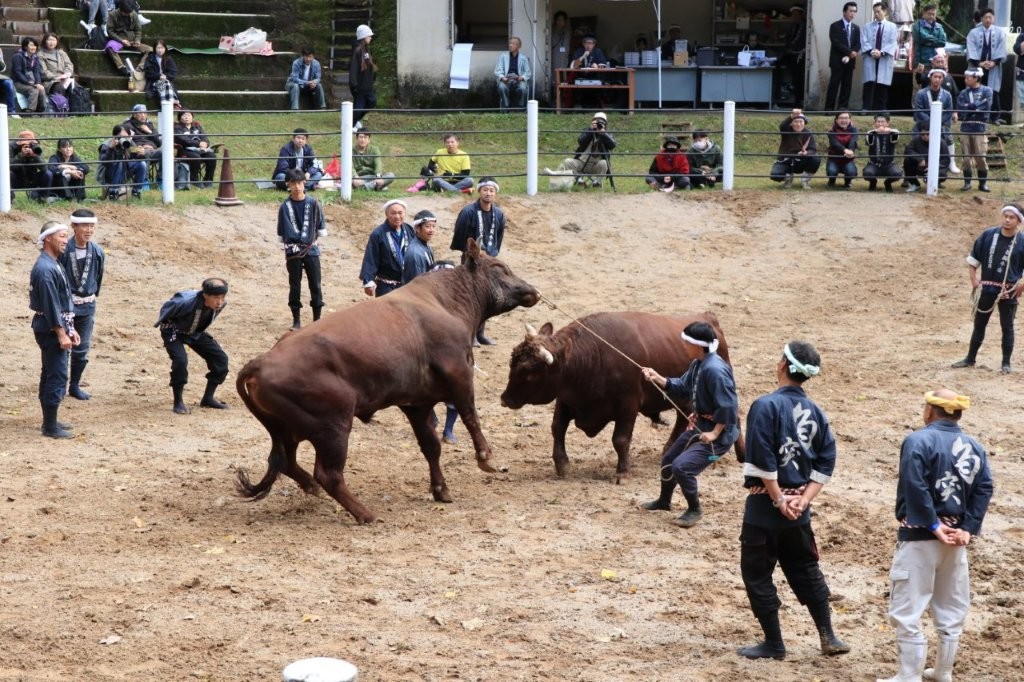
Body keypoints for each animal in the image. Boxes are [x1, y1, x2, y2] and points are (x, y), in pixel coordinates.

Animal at [235, 239, 539, 524]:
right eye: (500, 268)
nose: (533, 291)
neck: (446, 301)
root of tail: (261, 361)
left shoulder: (417, 404)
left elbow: (431, 447)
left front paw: (441, 489)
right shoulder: (459, 373)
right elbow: (469, 415)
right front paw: (485, 457)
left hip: (288, 430)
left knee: (285, 462)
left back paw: (312, 487)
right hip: (333, 427)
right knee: (328, 474)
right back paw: (365, 513)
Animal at [500, 311, 743, 481]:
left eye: (529, 371)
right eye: (512, 361)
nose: (505, 399)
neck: (592, 357)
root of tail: (709, 319)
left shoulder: (628, 405)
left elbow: (621, 439)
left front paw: (622, 473)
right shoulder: (567, 399)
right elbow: (557, 428)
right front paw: (562, 465)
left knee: (733, 416)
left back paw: (741, 454)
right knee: (684, 418)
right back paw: (669, 450)